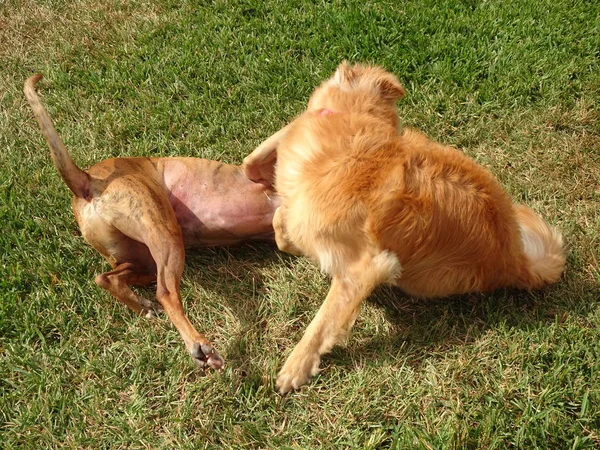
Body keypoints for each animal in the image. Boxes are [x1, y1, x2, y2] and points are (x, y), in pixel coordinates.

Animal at [25, 74, 278, 370]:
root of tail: (85, 181)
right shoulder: (257, 166)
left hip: (142, 258)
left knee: (107, 278)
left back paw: (142, 307)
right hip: (164, 234)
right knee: (166, 293)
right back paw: (199, 345)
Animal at [241, 61, 564, 392]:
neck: (352, 124)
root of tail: (516, 257)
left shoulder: (365, 267)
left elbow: (321, 324)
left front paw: (296, 367)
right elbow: (279, 219)